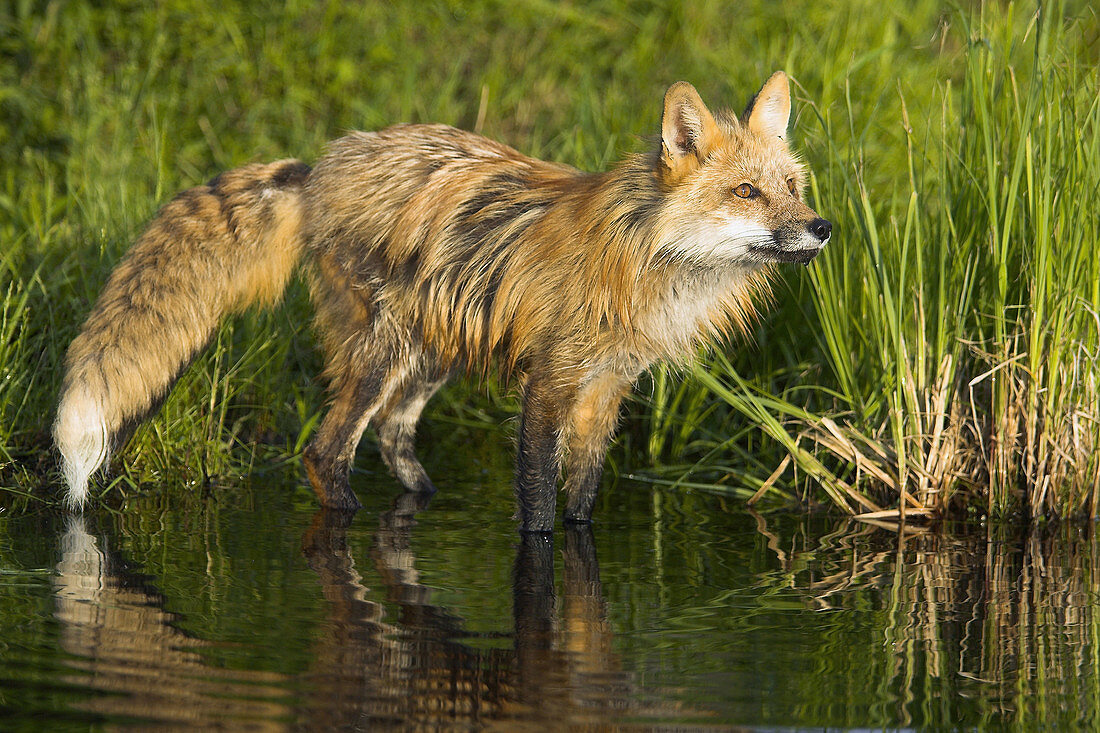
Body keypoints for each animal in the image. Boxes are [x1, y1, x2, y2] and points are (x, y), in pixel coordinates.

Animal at [51, 74, 827, 528]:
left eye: (791, 186)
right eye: (746, 192)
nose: (821, 227)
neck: (646, 261)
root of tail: (321, 165)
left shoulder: (606, 388)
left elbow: (581, 502)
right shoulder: (550, 382)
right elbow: (539, 508)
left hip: (435, 351)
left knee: (394, 435)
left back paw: (423, 502)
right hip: (383, 352)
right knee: (326, 454)